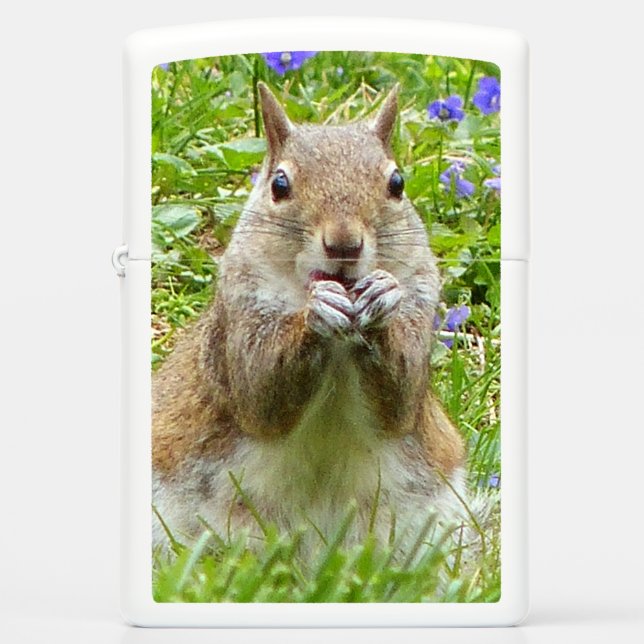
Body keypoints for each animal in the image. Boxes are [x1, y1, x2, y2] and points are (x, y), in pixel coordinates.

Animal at [152, 82, 468, 553]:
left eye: (397, 183)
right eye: (279, 184)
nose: (344, 244)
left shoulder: (420, 300)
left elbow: (401, 399)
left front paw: (381, 297)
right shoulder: (239, 314)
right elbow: (260, 393)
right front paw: (316, 313)